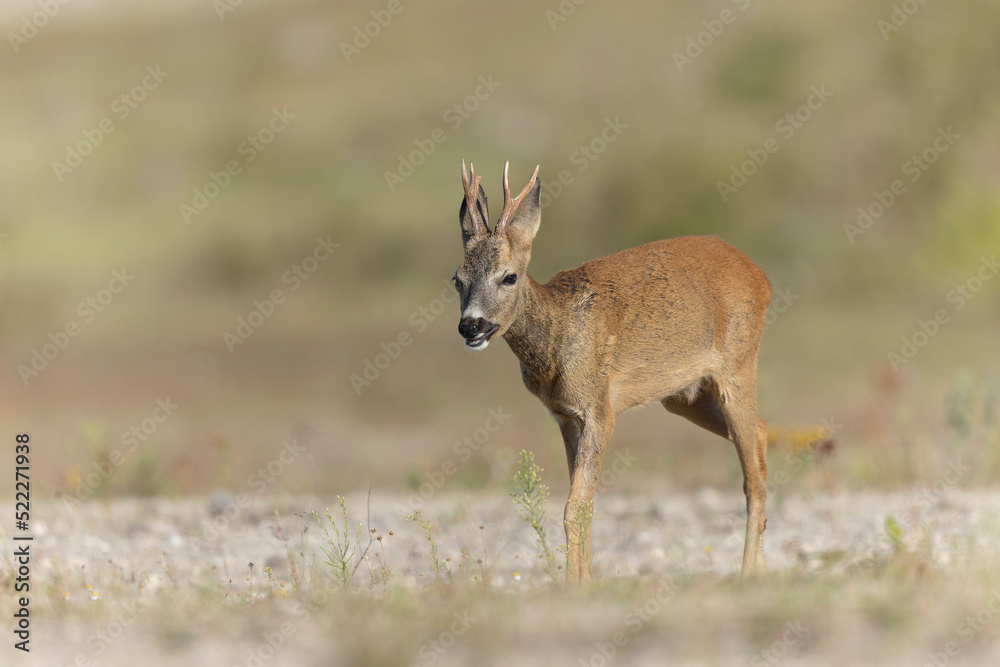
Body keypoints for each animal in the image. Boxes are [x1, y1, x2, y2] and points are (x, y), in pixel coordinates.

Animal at [456, 162, 772, 584]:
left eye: (509, 276)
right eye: (457, 280)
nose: (470, 326)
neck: (557, 340)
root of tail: (761, 276)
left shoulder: (598, 409)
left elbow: (574, 507)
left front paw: (576, 587)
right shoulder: (565, 416)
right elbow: (584, 504)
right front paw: (587, 581)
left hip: (738, 366)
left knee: (752, 478)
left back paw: (748, 575)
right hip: (684, 396)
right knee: (761, 433)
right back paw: (765, 570)